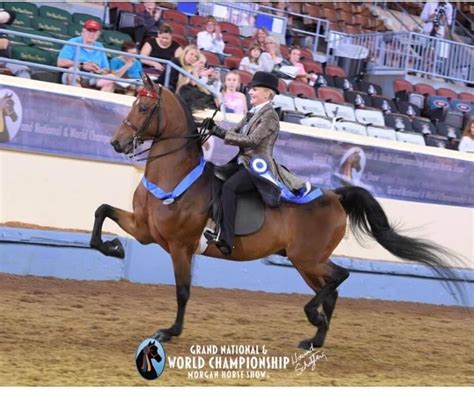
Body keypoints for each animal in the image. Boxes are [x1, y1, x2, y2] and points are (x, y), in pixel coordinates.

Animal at [90, 77, 462, 350]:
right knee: (332, 289)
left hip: (306, 258)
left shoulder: (180, 246)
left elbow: (183, 291)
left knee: (339, 277)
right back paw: (315, 339)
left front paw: (169, 332)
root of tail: (335, 196)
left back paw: (314, 320)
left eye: (144, 106)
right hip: (305, 262)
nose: (116, 143)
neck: (176, 175)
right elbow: (101, 211)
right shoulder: (145, 230)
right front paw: (113, 247)